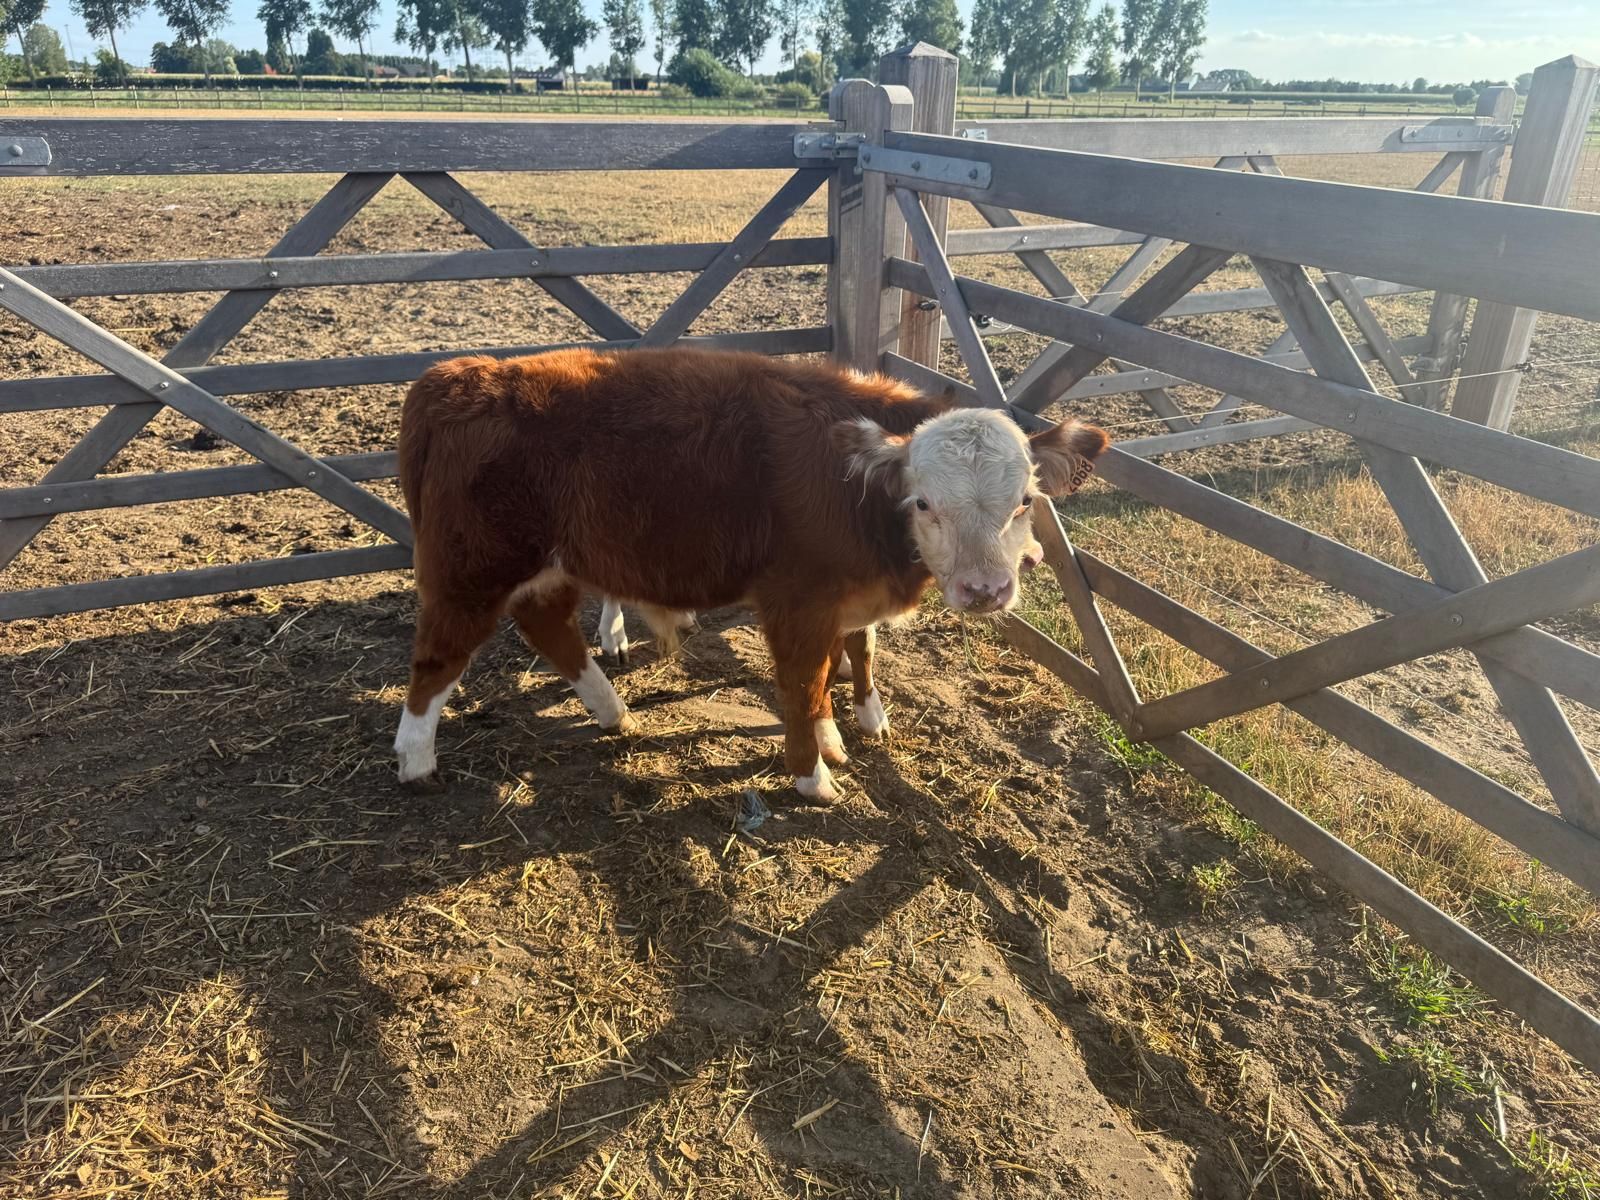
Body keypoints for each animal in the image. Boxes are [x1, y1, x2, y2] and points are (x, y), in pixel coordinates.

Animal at [393, 347, 1108, 800]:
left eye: (1025, 500)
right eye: (924, 502)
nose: (985, 590)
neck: (852, 489)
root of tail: (456, 375)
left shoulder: (840, 600)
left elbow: (845, 661)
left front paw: (844, 731)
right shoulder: (796, 603)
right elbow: (803, 683)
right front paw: (813, 776)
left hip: (551, 565)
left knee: (546, 624)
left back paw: (610, 710)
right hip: (469, 572)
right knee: (436, 661)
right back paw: (416, 761)